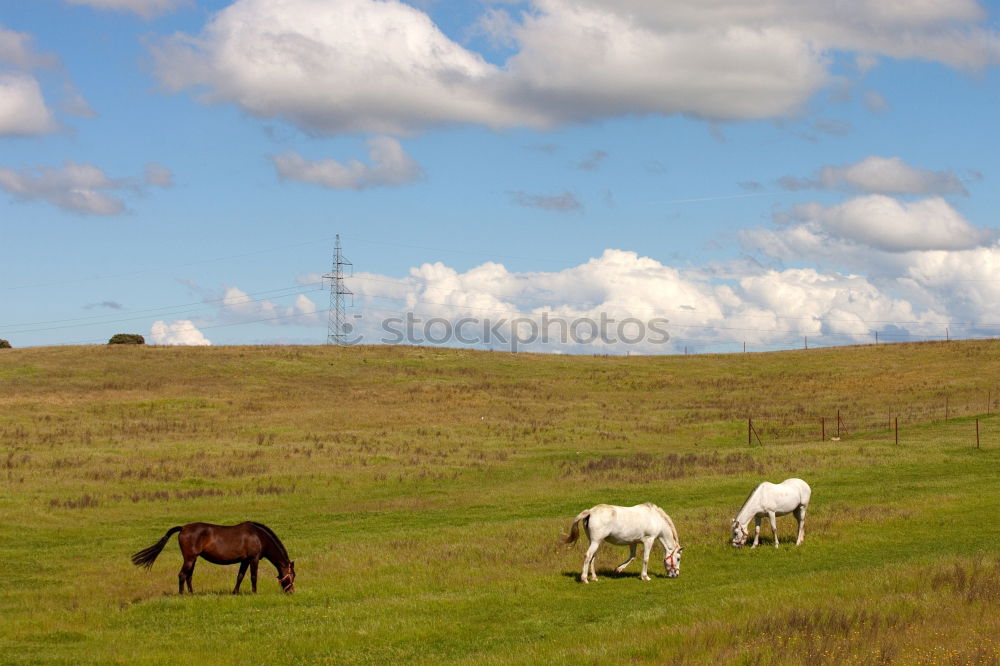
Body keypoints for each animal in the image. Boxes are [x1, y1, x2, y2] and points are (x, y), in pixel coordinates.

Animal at [129, 520, 294, 592]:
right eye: (292, 576)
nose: (291, 592)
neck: (259, 536)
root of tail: (183, 528)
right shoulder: (253, 559)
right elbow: (253, 577)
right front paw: (254, 593)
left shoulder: (244, 560)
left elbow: (240, 576)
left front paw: (235, 592)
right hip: (189, 558)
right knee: (182, 575)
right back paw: (181, 594)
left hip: (193, 559)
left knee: (188, 576)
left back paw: (192, 594)